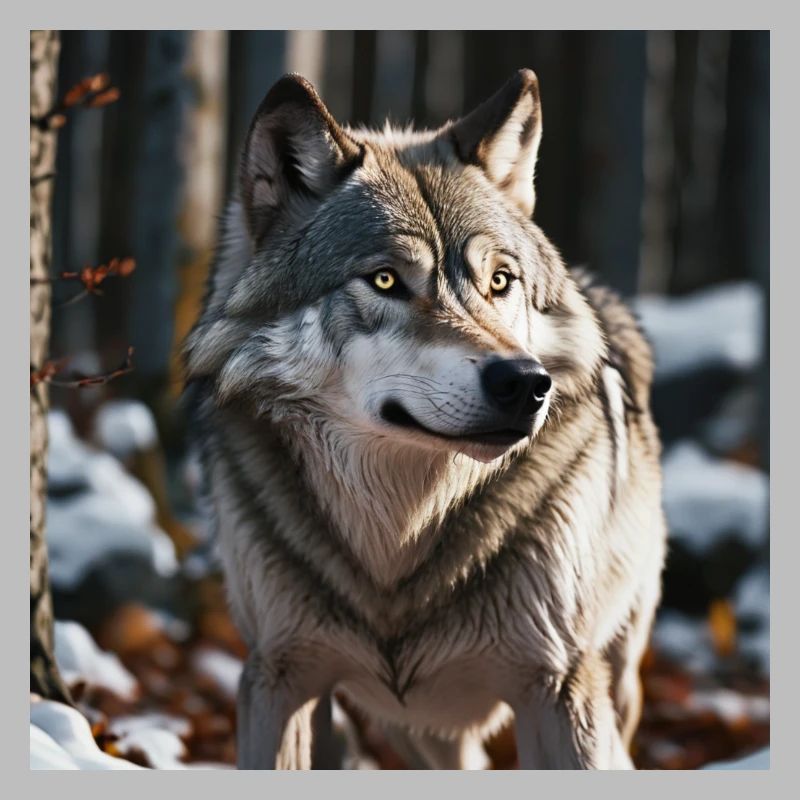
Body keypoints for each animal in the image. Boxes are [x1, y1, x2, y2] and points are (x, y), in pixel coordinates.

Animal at [184, 69, 667, 770]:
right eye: (385, 280)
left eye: (500, 281)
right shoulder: (280, 676)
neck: (400, 539)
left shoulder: (559, 687)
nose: (526, 383)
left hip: (615, 680)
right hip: (418, 732)